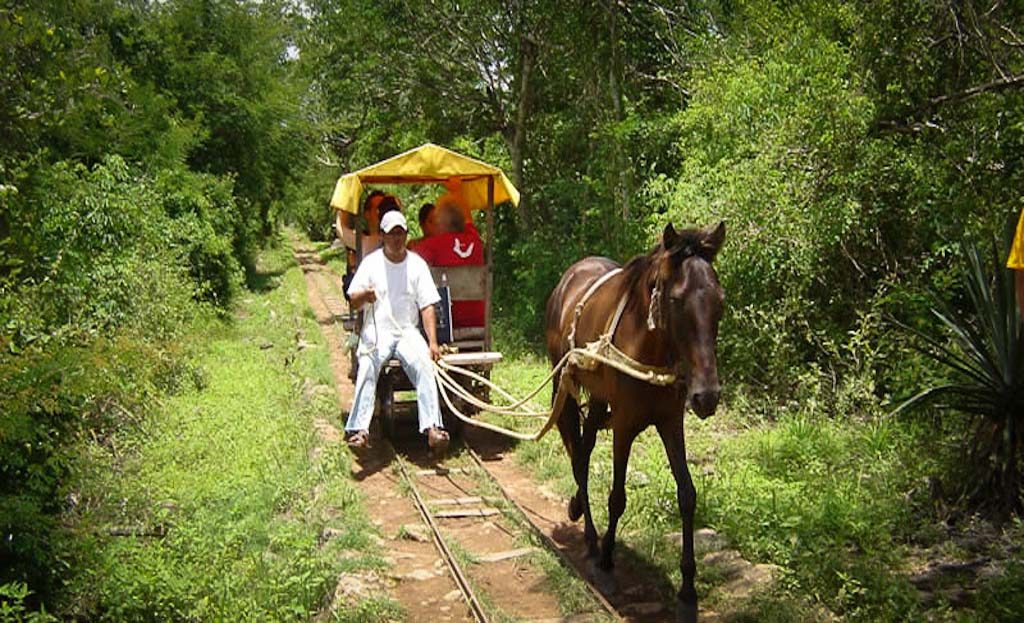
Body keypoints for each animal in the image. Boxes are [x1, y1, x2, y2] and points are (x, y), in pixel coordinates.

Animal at [544, 222, 725, 623]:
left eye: (719, 302)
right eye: (676, 299)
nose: (707, 396)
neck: (650, 347)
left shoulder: (671, 423)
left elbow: (687, 496)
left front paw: (688, 592)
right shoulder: (625, 425)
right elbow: (617, 497)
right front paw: (606, 564)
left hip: (598, 400)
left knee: (582, 451)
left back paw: (580, 511)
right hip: (567, 385)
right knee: (578, 453)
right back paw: (591, 538)